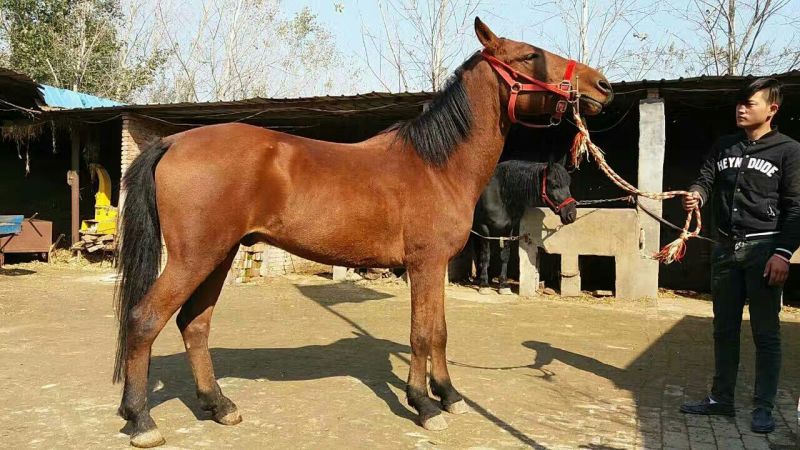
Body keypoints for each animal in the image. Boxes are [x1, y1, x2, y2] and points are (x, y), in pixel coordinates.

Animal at [471, 160, 576, 295]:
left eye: (568, 184)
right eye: (554, 185)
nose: (572, 214)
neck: (499, 195)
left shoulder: (508, 229)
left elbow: (505, 255)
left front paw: (503, 285)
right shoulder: (484, 228)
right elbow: (486, 254)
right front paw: (484, 284)